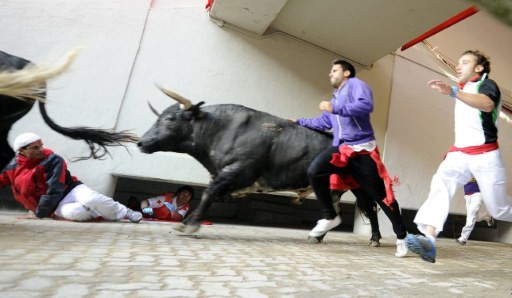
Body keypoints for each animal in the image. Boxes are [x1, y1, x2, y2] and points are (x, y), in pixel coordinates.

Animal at [138, 88, 378, 237]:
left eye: (170, 119)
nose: (141, 142)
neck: (220, 128)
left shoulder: (237, 171)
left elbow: (208, 193)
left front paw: (189, 225)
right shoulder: (222, 176)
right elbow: (211, 196)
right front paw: (190, 222)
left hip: (362, 186)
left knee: (372, 208)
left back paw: (374, 238)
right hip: (337, 188)